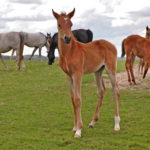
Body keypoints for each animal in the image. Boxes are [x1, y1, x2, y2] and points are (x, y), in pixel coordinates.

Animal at [52, 7, 120, 137]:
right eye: (59, 24)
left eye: (71, 24)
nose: (67, 38)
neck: (69, 52)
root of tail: (112, 45)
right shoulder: (68, 76)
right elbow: (73, 99)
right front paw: (74, 127)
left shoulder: (78, 74)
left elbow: (78, 99)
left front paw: (78, 130)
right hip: (98, 71)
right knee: (101, 91)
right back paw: (93, 122)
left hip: (111, 69)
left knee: (115, 92)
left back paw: (117, 124)